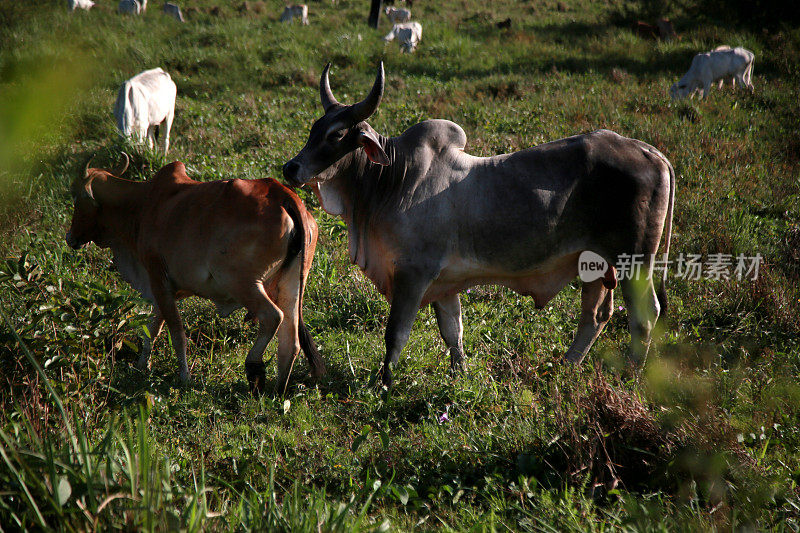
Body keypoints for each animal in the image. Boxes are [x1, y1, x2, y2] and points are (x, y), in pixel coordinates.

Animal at [65, 152, 322, 392]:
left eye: (76, 197)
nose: (70, 237)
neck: (142, 204)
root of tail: (283, 194)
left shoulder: (158, 279)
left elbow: (176, 333)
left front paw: (184, 377)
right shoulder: (162, 288)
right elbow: (152, 330)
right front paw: (142, 366)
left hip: (242, 283)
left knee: (273, 317)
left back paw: (254, 367)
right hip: (291, 284)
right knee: (291, 341)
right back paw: (278, 389)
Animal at [284, 63, 672, 386]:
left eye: (336, 135)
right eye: (314, 129)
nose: (291, 168)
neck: (393, 179)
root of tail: (650, 152)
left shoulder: (413, 275)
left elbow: (396, 334)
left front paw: (384, 385)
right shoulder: (445, 283)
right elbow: (452, 331)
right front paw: (460, 376)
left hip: (636, 262)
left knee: (644, 315)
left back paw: (632, 375)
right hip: (593, 262)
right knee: (595, 315)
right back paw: (566, 367)